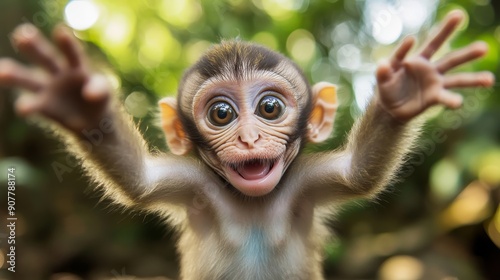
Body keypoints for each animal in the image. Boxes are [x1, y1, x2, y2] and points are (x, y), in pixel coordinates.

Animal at [0, 9, 494, 280]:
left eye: (270, 108)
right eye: (221, 114)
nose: (249, 137)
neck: (252, 203)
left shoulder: (305, 182)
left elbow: (358, 174)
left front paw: (406, 89)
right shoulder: (193, 185)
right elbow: (138, 181)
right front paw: (74, 98)